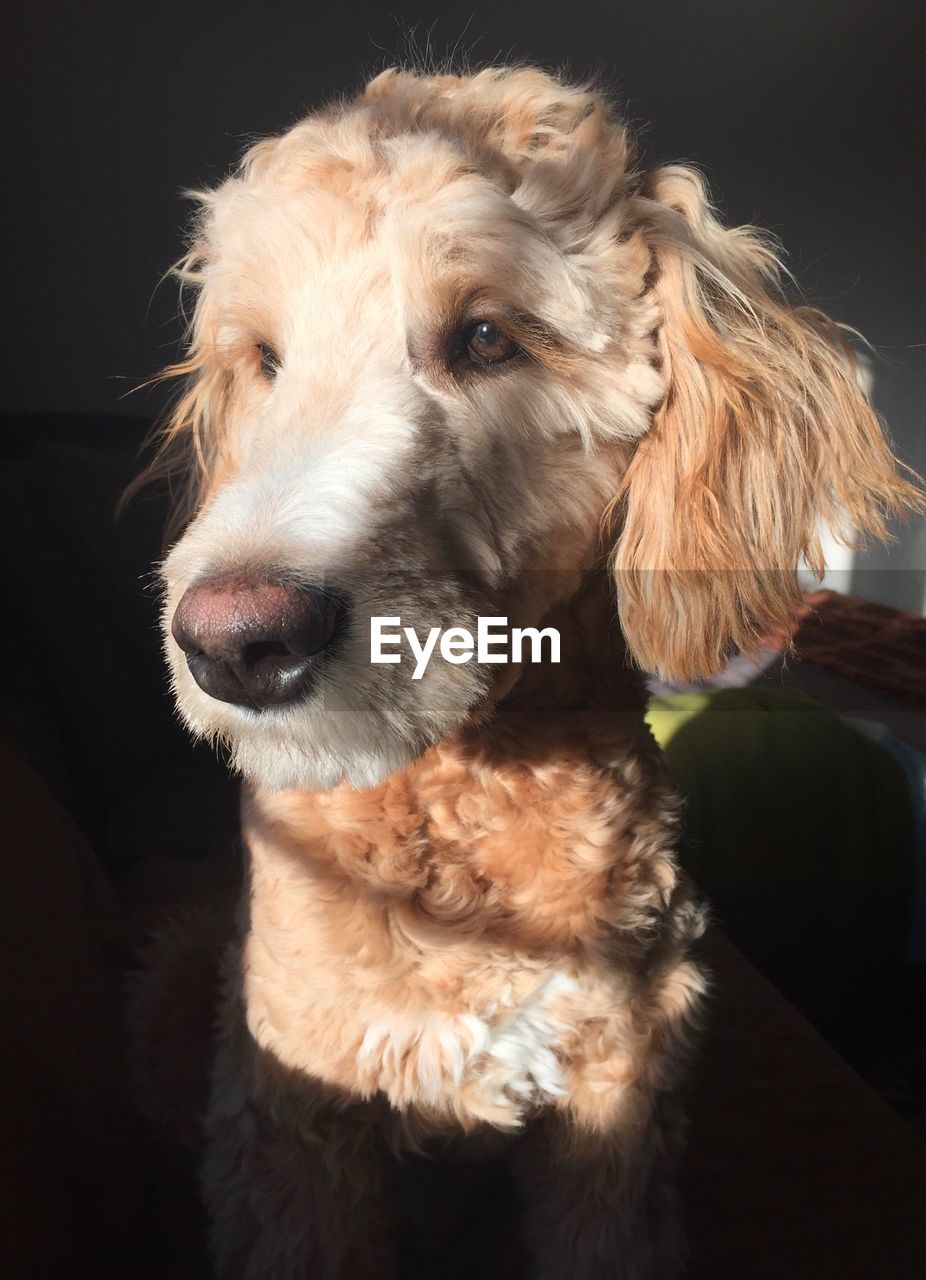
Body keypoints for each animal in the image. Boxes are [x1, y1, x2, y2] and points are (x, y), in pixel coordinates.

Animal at [130, 62, 922, 1280]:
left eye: (490, 338)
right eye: (262, 359)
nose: (230, 642)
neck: (469, 796)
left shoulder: (615, 1113)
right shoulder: (299, 1127)